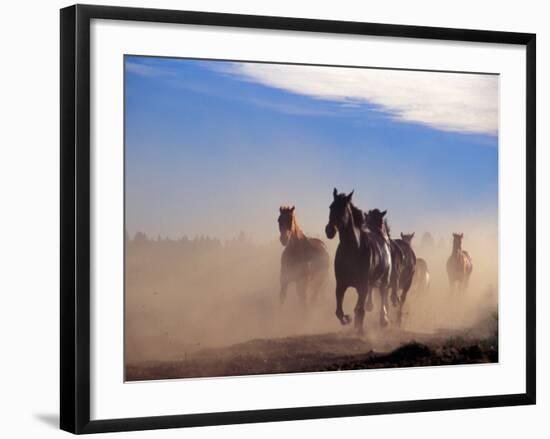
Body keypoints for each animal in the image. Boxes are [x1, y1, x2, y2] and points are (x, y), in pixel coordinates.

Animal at [326, 190, 394, 334]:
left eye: (343, 209)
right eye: (331, 207)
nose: (329, 230)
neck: (352, 250)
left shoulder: (363, 285)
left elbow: (360, 309)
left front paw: (359, 328)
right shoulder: (341, 284)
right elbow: (339, 311)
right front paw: (348, 319)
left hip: (384, 280)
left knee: (383, 294)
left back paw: (383, 320)